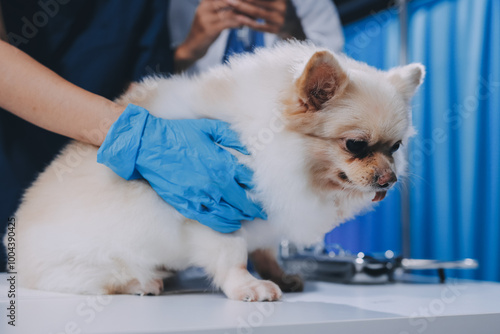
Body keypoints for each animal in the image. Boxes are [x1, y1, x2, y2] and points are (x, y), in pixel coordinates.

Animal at [5, 41, 424, 300]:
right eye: (356, 145)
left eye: (395, 147)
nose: (389, 179)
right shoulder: (215, 212)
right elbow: (233, 254)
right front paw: (248, 287)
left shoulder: (266, 209)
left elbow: (265, 249)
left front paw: (277, 275)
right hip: (88, 260)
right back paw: (141, 281)